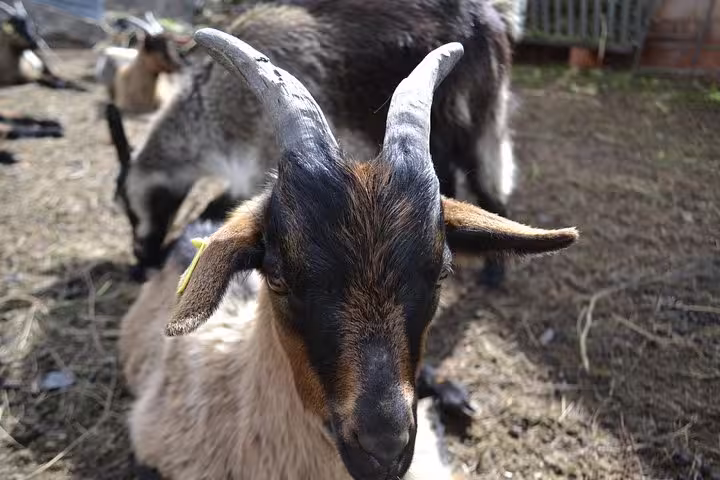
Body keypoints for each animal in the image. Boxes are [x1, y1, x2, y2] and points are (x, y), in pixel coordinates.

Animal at [110, 0, 523, 286]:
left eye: (131, 208)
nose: (140, 262)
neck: (216, 104)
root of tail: (491, 15)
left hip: (473, 105)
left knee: (485, 168)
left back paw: (495, 268)